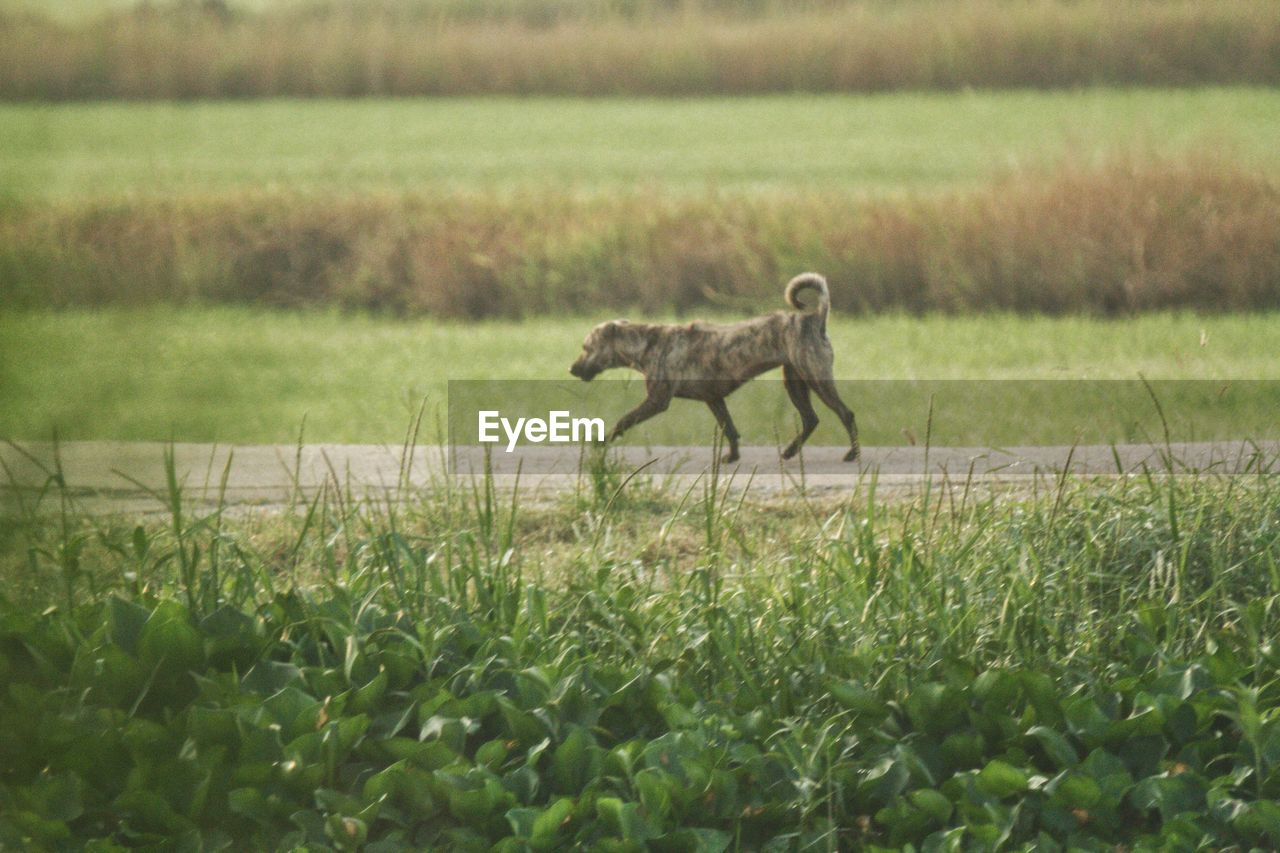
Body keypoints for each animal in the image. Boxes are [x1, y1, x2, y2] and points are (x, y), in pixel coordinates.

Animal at [570, 272, 860, 461]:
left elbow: (623, 420)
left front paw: (600, 441)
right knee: (811, 419)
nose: (572, 370)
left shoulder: (656, 401)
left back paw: (852, 453)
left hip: (817, 378)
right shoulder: (714, 399)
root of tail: (815, 318)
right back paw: (790, 451)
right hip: (794, 381)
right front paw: (732, 457)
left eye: (586, 347)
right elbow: (729, 429)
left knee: (846, 414)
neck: (645, 343)